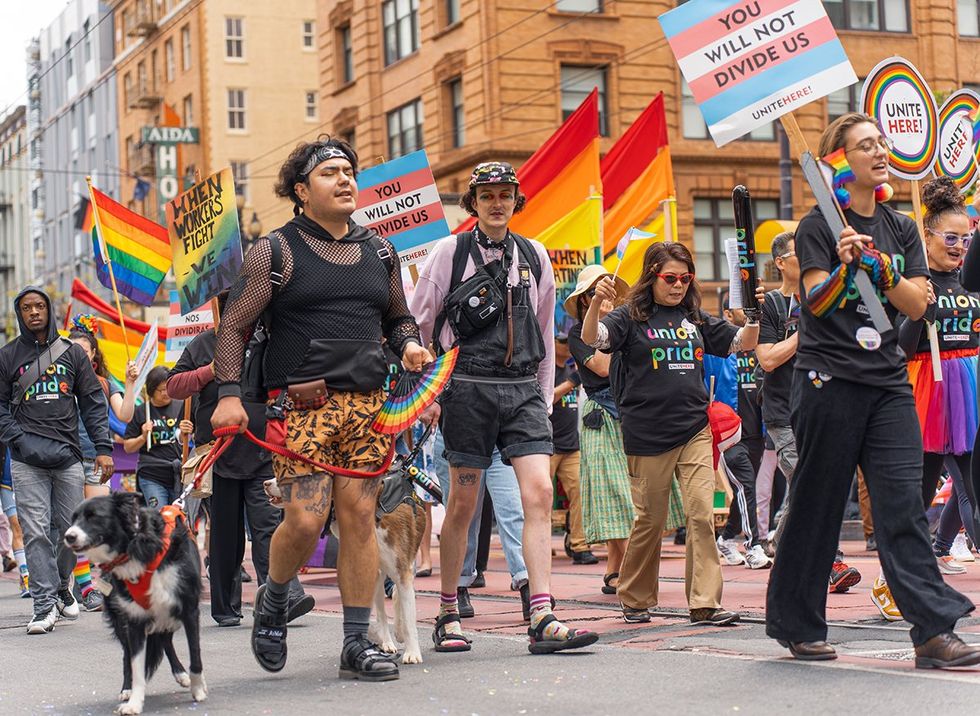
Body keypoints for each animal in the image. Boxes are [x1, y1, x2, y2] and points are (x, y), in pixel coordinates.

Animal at [64, 492, 206, 716]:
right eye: (74, 519)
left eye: (94, 516)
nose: (68, 536)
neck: (136, 547)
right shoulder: (134, 619)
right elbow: (136, 665)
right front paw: (134, 703)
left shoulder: (189, 609)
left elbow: (195, 655)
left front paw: (198, 689)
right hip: (123, 618)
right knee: (129, 654)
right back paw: (127, 689)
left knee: (165, 640)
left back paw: (182, 675)